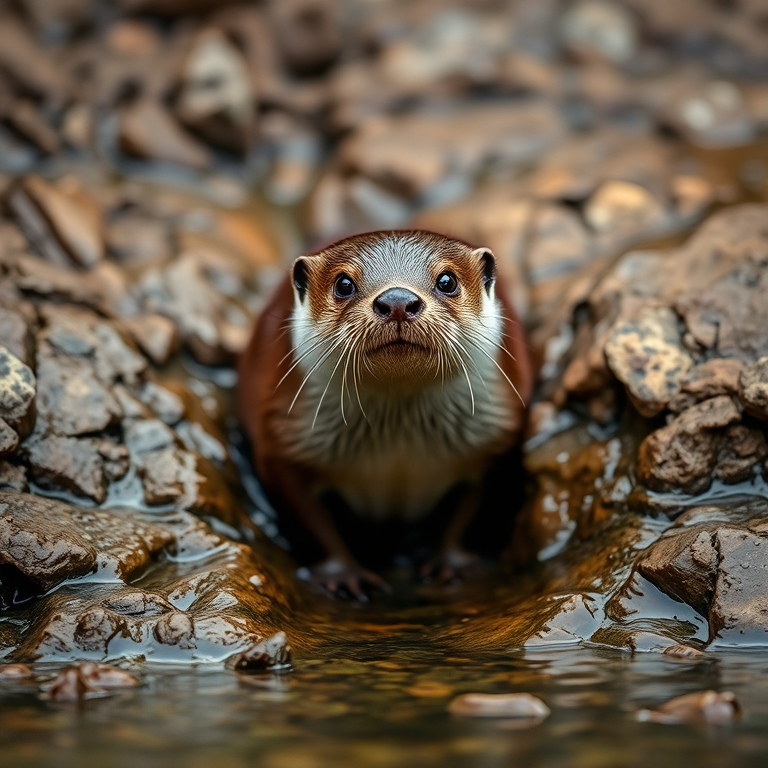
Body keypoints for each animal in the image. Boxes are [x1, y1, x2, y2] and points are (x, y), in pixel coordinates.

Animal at [237, 230, 533, 598]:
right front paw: (341, 575)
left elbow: (477, 515)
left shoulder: (497, 441)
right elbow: (308, 523)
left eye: (447, 281)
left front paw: (454, 565)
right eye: (344, 284)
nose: (397, 300)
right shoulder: (282, 444)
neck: (396, 448)